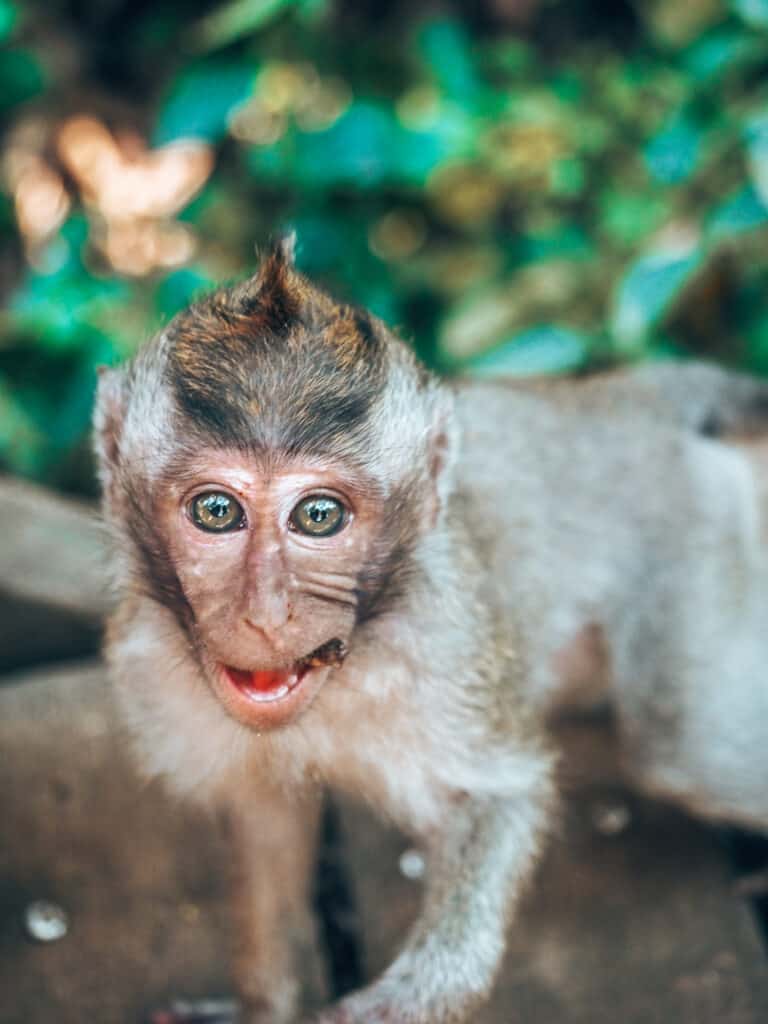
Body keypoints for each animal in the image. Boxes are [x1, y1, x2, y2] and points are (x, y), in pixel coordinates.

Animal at [94, 235, 768, 1019]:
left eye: (318, 516)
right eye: (215, 512)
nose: (265, 614)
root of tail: (621, 396)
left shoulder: (449, 652)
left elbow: (502, 799)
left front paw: (386, 1008)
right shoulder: (150, 667)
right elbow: (267, 825)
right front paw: (263, 1004)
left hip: (697, 536)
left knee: (686, 753)